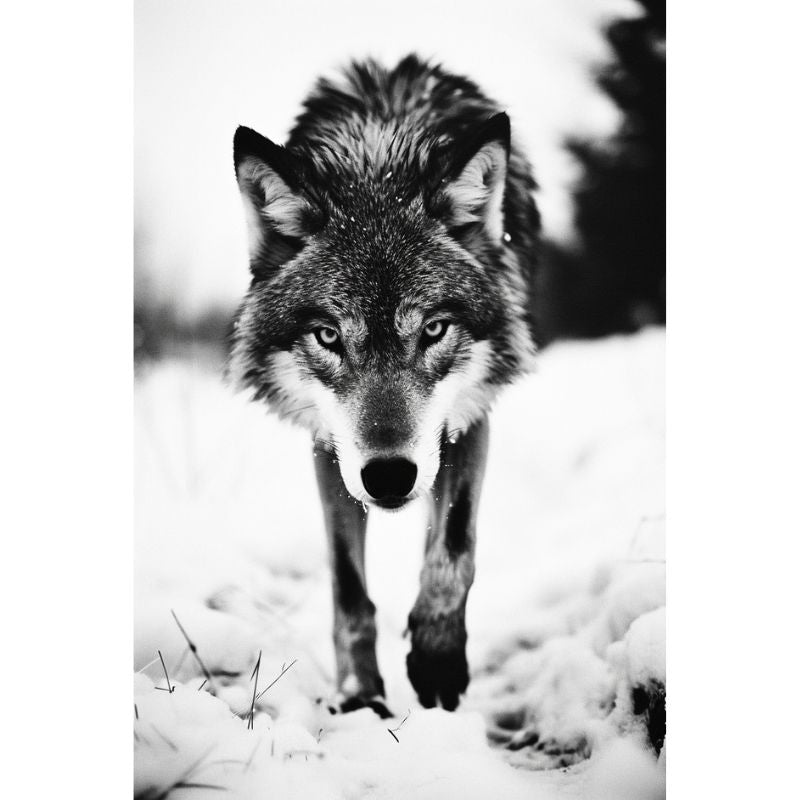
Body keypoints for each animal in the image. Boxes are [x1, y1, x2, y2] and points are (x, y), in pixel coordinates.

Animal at [230, 54, 540, 716]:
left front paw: (437, 658)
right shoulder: (331, 449)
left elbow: (454, 548)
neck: (377, 164)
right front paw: (359, 696)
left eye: (434, 329)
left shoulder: (470, 417)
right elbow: (348, 587)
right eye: (327, 336)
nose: (391, 476)